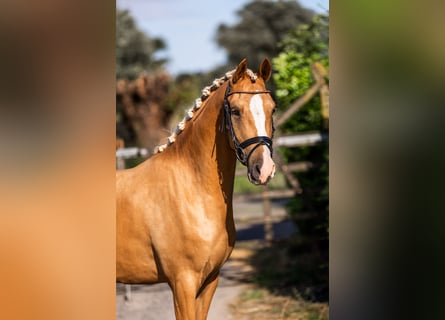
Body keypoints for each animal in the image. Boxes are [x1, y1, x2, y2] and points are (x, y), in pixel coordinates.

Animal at [117, 58, 278, 318]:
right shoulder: (183, 283)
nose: (263, 169)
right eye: (235, 111)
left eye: (272, 108)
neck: (191, 190)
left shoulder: (210, 280)